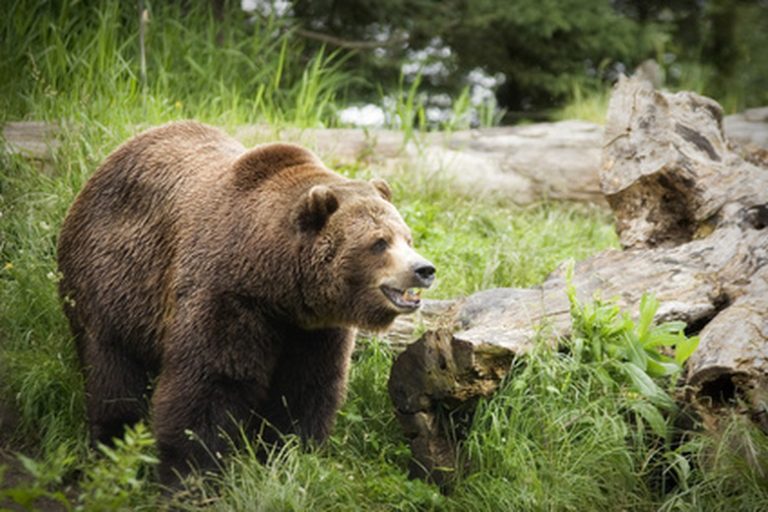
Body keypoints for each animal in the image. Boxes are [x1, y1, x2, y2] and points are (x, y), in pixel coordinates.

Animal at [57, 121, 436, 484]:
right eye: (379, 242)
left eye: (407, 237)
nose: (424, 269)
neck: (276, 283)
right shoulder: (226, 296)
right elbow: (211, 383)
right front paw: (191, 473)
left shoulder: (312, 329)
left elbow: (305, 389)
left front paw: (287, 456)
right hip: (110, 286)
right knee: (113, 373)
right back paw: (112, 442)